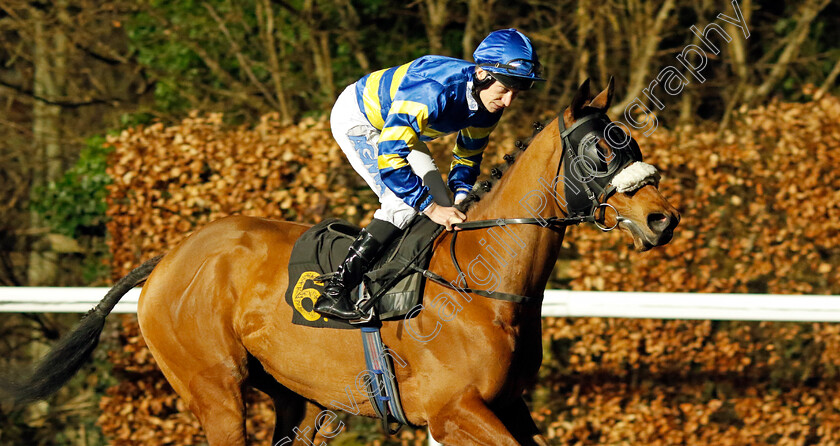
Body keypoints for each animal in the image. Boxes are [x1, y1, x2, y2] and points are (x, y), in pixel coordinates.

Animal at [1, 78, 676, 444]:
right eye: (602, 150)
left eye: (631, 142)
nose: (661, 220)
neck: (483, 283)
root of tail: (168, 257)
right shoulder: (454, 409)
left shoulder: (507, 405)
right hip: (214, 389)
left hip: (292, 395)